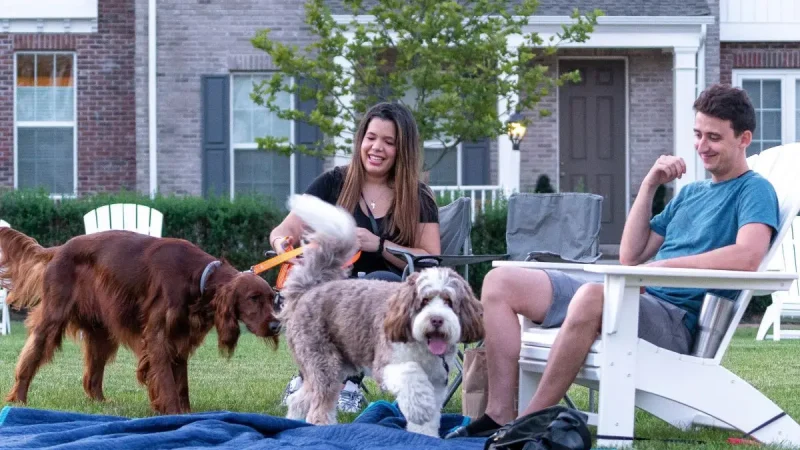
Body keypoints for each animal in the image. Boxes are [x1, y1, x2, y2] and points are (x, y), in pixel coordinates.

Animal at [0, 229, 282, 414]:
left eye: (272, 298)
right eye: (253, 298)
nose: (276, 326)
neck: (198, 277)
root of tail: (58, 249)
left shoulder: (180, 337)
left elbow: (181, 383)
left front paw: (188, 414)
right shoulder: (158, 336)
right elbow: (167, 381)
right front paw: (173, 413)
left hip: (101, 332)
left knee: (92, 376)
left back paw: (102, 403)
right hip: (53, 317)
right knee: (30, 357)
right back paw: (19, 400)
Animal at [278, 193, 484, 436]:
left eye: (449, 302)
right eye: (424, 301)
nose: (436, 319)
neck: (422, 345)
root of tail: (308, 290)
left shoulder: (436, 379)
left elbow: (429, 418)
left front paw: (424, 434)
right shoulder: (387, 364)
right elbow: (411, 376)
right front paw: (420, 408)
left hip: (336, 365)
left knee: (299, 399)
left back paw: (295, 423)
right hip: (323, 362)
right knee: (318, 407)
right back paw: (322, 429)